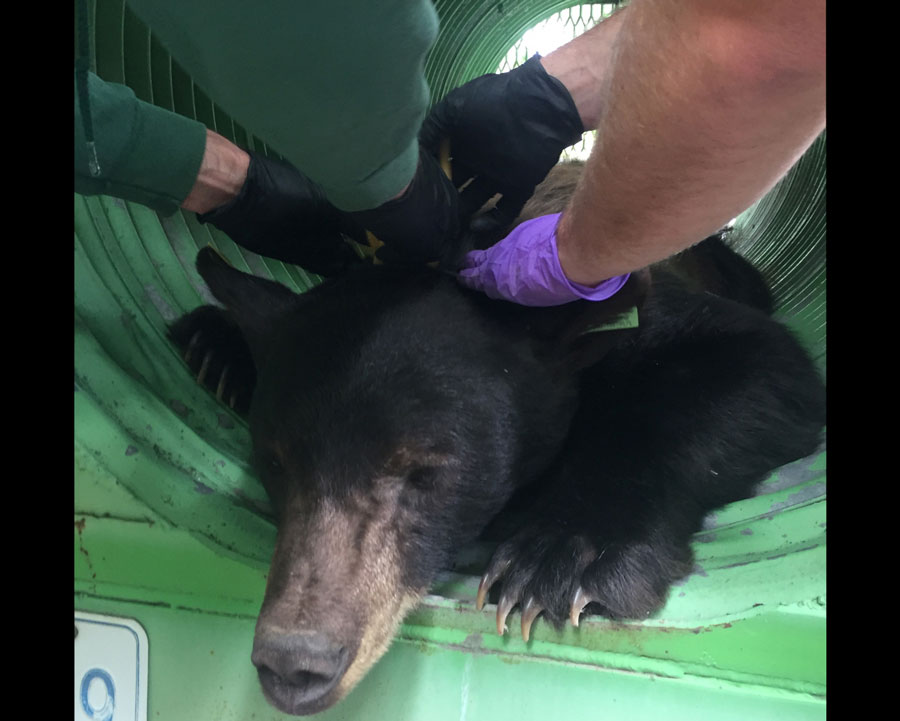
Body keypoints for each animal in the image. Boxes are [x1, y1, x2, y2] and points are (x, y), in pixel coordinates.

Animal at [169, 162, 826, 716]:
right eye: (276, 462)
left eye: (427, 473)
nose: (294, 664)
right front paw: (220, 337)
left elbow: (766, 368)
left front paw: (561, 555)